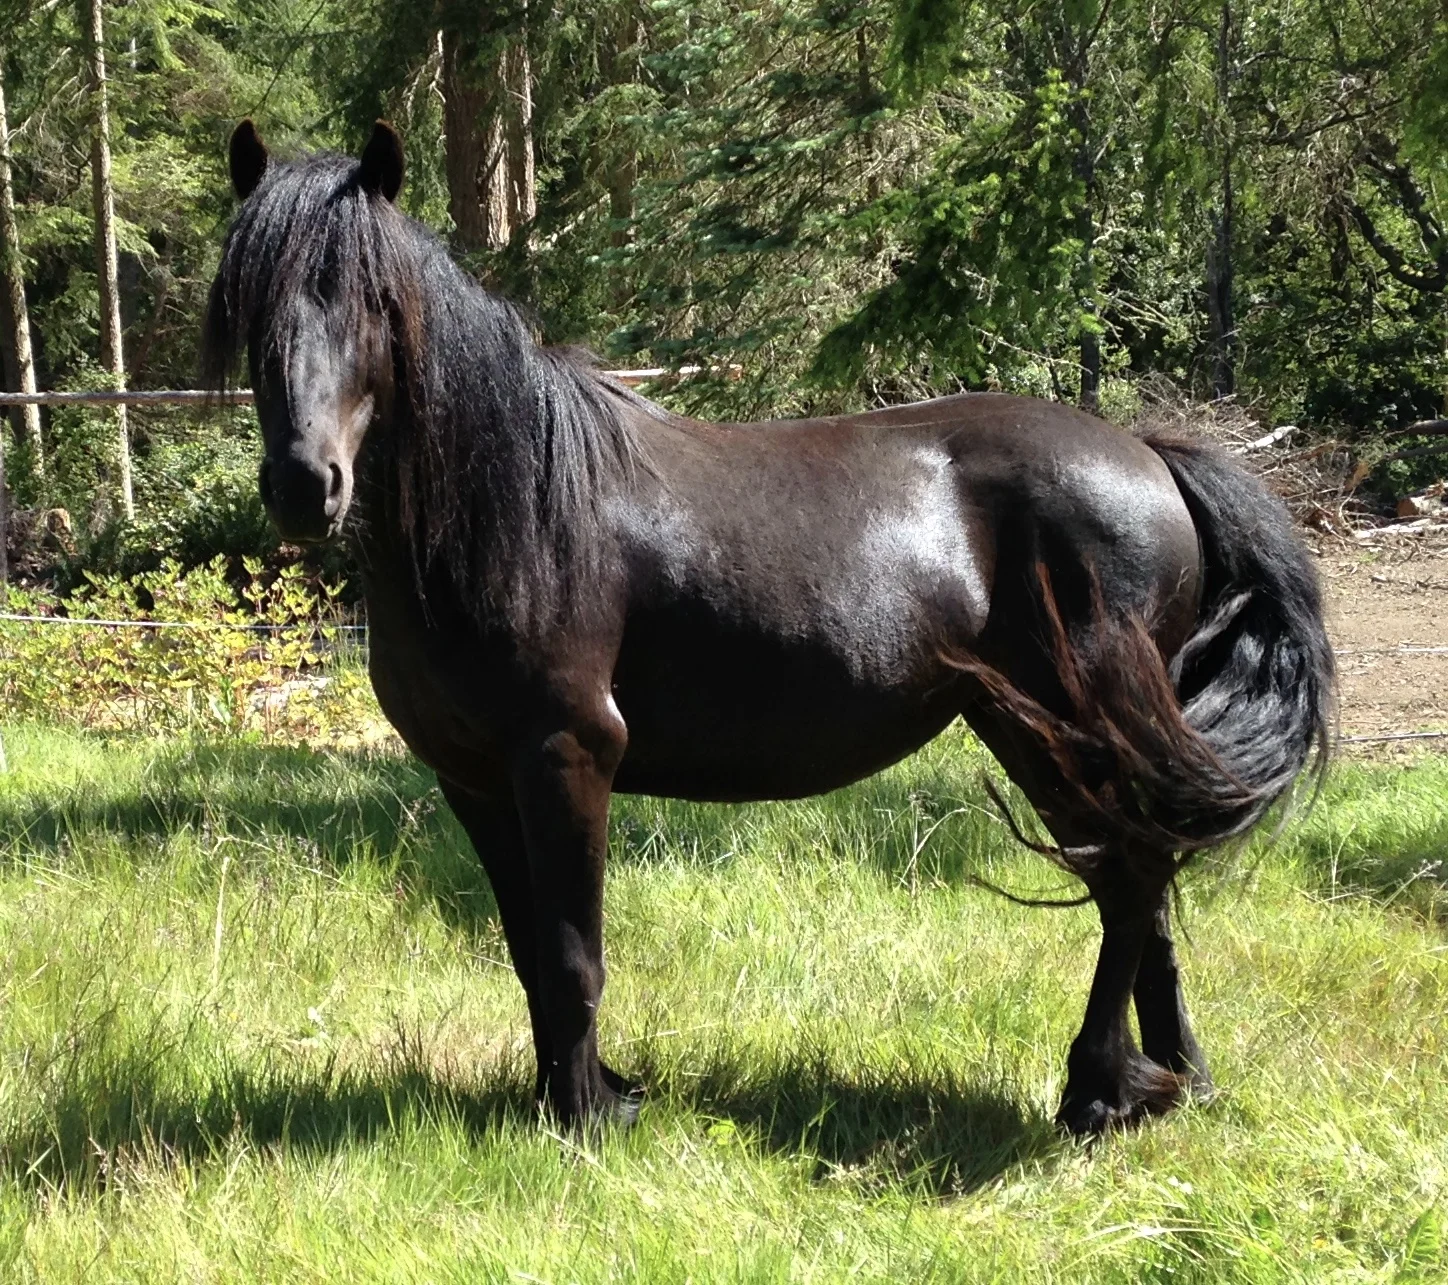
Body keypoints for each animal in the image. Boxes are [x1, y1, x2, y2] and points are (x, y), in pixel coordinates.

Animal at [202, 120, 1334, 1137]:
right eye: (251, 303)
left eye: (371, 298)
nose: (304, 486)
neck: (513, 509)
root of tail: (1149, 457)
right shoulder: (472, 778)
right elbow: (526, 946)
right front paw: (569, 1096)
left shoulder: (567, 753)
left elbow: (572, 952)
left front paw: (585, 1121)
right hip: (1034, 731)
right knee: (1140, 885)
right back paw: (1178, 1079)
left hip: (1069, 729)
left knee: (1133, 876)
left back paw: (1095, 1093)